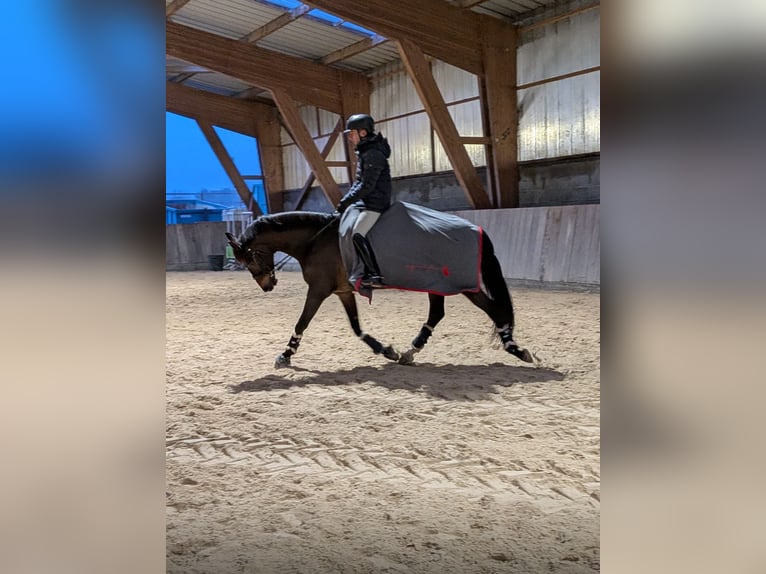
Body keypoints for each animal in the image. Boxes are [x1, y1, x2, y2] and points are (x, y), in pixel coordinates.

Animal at [225, 211, 535, 368]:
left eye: (249, 258)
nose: (268, 286)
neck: (314, 241)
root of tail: (476, 230)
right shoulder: (342, 291)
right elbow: (356, 327)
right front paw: (386, 350)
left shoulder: (319, 289)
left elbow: (302, 322)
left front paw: (286, 355)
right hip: (439, 284)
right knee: (438, 314)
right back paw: (410, 352)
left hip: (460, 284)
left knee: (492, 309)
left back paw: (516, 349)